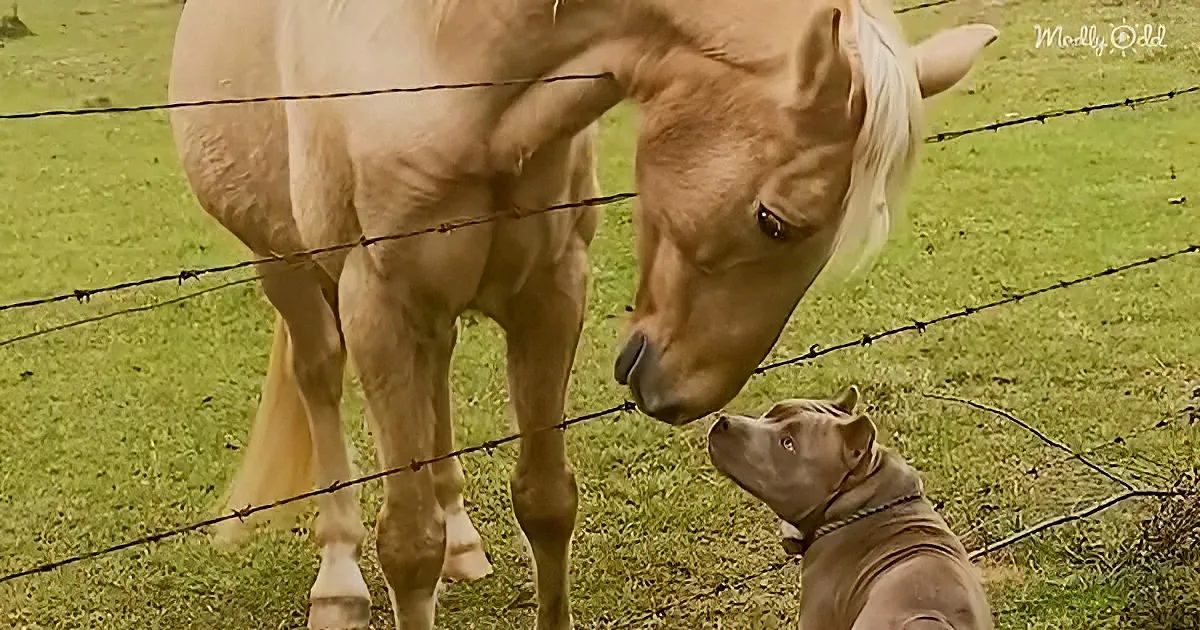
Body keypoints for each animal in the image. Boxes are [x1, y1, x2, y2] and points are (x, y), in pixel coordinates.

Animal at [166, 0, 997, 628]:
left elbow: (546, 501)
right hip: (286, 271)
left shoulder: (549, 293)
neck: (451, 68)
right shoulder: (380, 305)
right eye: (774, 221)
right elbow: (406, 544)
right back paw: (338, 582)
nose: (686, 397)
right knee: (319, 383)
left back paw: (463, 542)